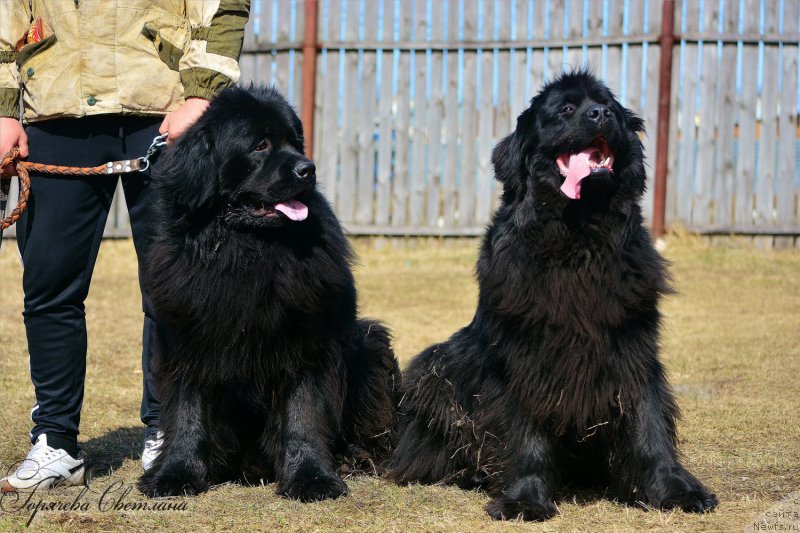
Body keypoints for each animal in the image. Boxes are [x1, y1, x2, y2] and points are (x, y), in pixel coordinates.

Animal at [139, 86, 400, 498]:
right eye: (260, 145)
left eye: (295, 142)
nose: (308, 169)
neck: (247, 249)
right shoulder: (187, 341)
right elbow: (187, 412)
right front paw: (175, 475)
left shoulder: (308, 344)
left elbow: (303, 414)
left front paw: (312, 478)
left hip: (371, 345)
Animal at [388, 70, 720, 520]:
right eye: (565, 109)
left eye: (609, 107)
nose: (599, 115)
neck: (579, 235)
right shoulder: (521, 356)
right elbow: (525, 433)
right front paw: (525, 499)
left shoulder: (633, 346)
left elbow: (648, 421)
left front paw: (674, 490)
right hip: (435, 364)